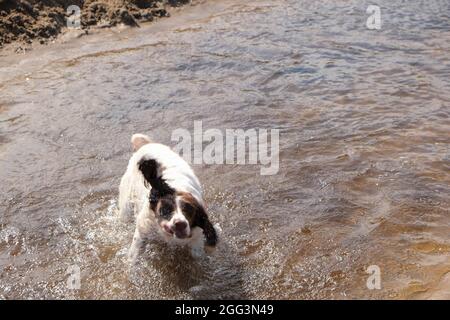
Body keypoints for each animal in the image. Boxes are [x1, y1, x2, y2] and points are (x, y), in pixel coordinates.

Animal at [118, 134, 219, 262]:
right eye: (166, 209)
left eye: (189, 210)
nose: (180, 224)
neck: (175, 188)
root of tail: (148, 144)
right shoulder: (144, 228)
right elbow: (134, 253)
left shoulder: (196, 238)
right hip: (125, 206)